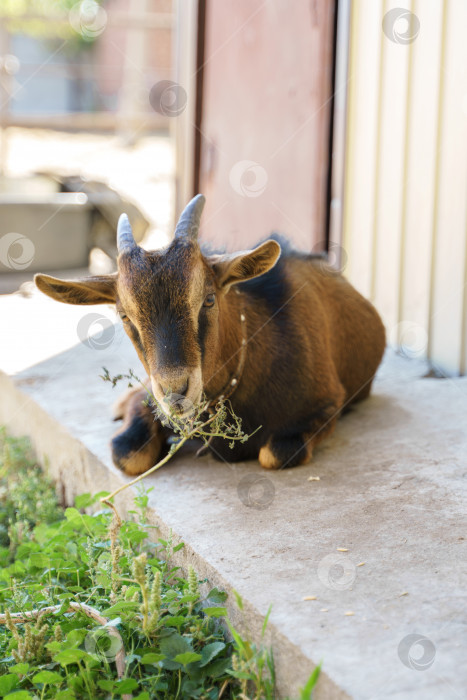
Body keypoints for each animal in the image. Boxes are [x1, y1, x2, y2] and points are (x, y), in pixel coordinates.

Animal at [33, 194, 386, 474]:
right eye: (124, 315)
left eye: (209, 299)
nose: (175, 392)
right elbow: (128, 455)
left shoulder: (328, 404)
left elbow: (276, 453)